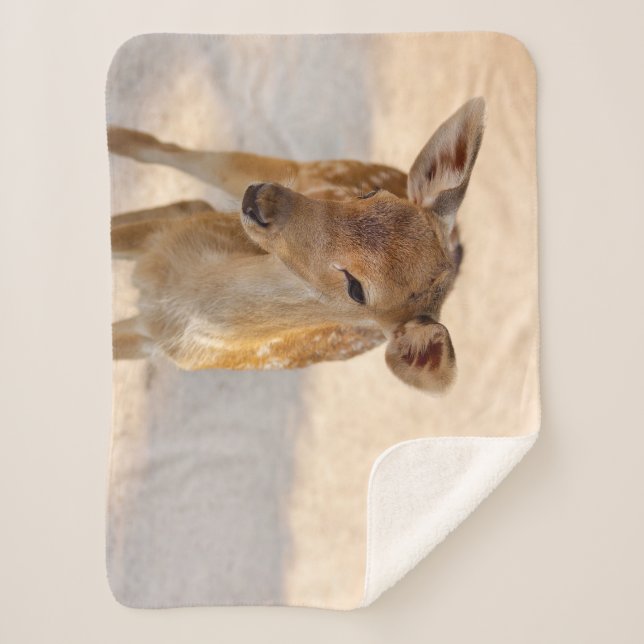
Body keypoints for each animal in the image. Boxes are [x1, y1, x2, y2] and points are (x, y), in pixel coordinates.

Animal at [108, 97, 485, 393]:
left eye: (357, 289)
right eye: (369, 194)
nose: (262, 201)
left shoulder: (153, 337)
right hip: (301, 170)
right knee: (167, 154)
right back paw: (114, 134)